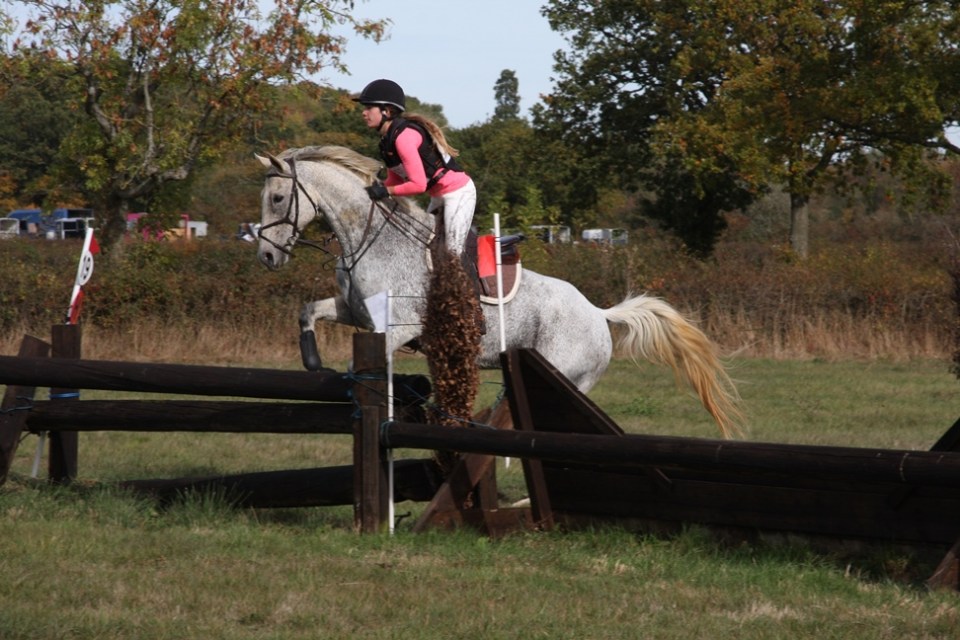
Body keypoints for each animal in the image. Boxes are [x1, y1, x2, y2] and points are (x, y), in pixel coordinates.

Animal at [256, 146, 741, 437]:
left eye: (278, 199)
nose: (266, 256)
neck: (370, 236)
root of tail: (599, 314)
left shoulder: (396, 327)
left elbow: (372, 365)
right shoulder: (353, 310)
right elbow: (308, 311)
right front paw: (313, 363)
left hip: (565, 375)